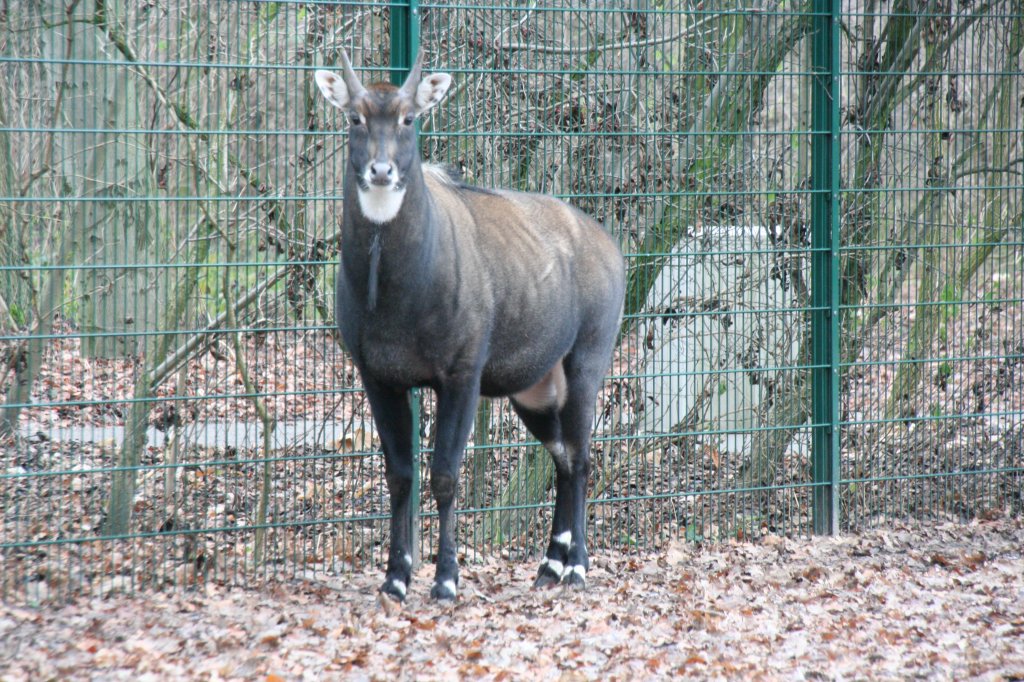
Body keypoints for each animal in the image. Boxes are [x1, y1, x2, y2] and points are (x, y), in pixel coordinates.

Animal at [315, 51, 622, 602]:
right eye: (354, 118)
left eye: (409, 119)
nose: (380, 170)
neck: (393, 292)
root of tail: (609, 245)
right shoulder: (379, 379)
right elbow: (400, 476)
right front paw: (396, 578)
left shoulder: (460, 377)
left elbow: (444, 476)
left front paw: (445, 579)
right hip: (534, 390)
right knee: (562, 459)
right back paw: (549, 565)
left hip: (585, 367)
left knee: (583, 459)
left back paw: (578, 567)